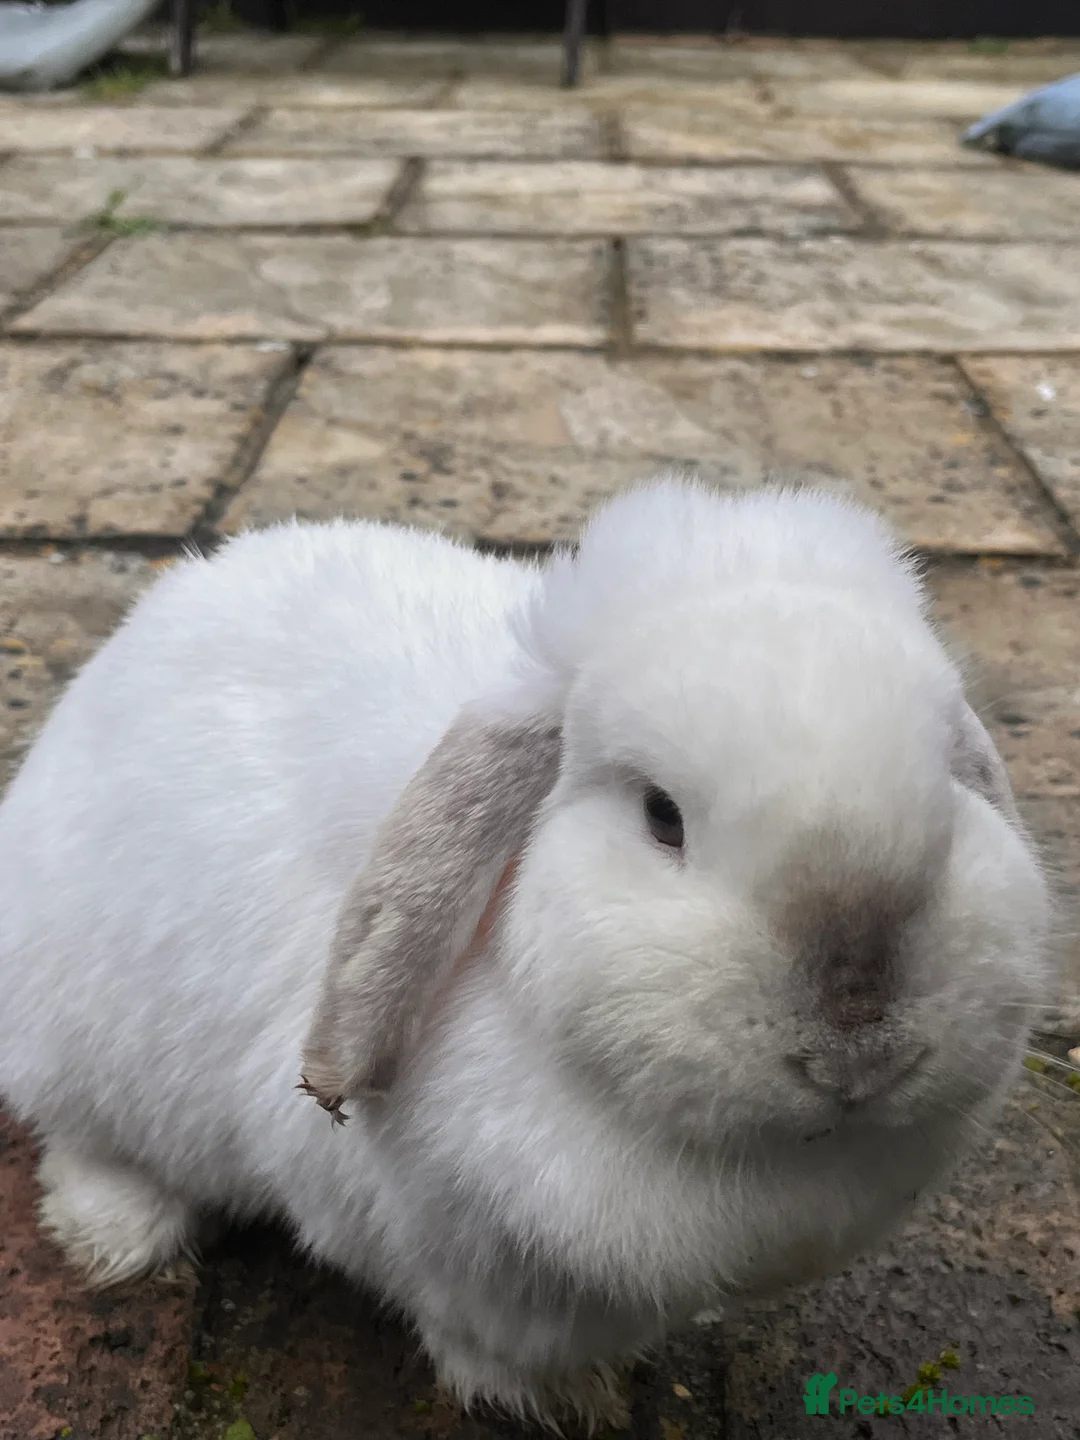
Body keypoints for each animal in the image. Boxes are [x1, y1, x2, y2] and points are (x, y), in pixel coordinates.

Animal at [0, 475, 1052, 1430]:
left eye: (951, 795)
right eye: (662, 816)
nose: (857, 1048)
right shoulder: (466, 1258)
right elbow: (490, 1338)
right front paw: (566, 1402)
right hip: (87, 1047)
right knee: (85, 1141)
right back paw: (116, 1239)